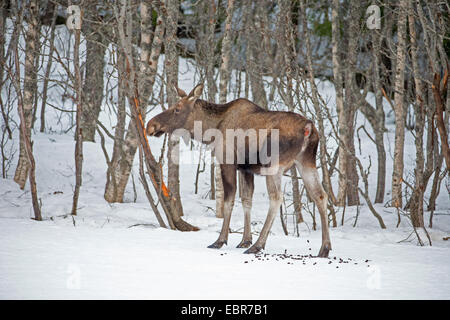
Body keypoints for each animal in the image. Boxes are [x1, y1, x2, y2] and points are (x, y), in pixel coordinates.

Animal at [146, 83, 332, 258]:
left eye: (177, 108)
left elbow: (228, 201)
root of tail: (309, 128)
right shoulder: (245, 169)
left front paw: (220, 240)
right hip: (306, 162)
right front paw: (244, 240)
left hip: (273, 165)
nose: (150, 125)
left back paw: (258, 245)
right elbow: (246, 200)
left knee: (276, 197)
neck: (209, 131)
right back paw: (324, 248)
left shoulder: (227, 161)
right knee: (321, 196)